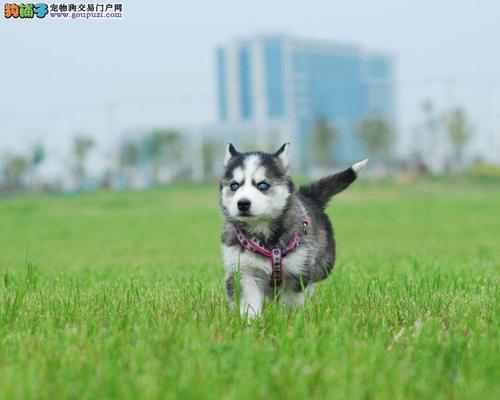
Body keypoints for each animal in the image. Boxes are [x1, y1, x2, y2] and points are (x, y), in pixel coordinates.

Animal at [220, 142, 368, 318]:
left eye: (263, 185)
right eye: (234, 185)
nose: (242, 203)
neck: (264, 237)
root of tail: (307, 196)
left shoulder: (296, 270)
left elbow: (291, 302)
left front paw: (288, 319)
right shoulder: (243, 270)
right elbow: (249, 301)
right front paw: (251, 321)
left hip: (323, 264)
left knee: (312, 280)